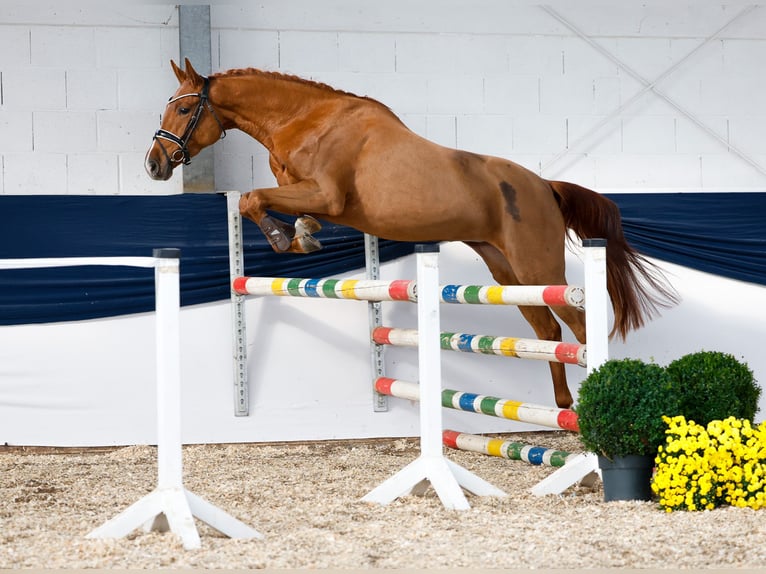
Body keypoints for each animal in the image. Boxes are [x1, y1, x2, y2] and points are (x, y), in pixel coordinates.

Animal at [146, 58, 680, 410]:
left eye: (182, 110)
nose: (154, 165)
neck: (308, 120)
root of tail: (545, 186)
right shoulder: (314, 197)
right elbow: (270, 205)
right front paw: (302, 236)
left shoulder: (325, 193)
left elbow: (254, 199)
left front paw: (283, 238)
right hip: (505, 270)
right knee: (547, 331)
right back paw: (564, 405)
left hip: (536, 265)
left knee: (578, 325)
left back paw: (589, 404)